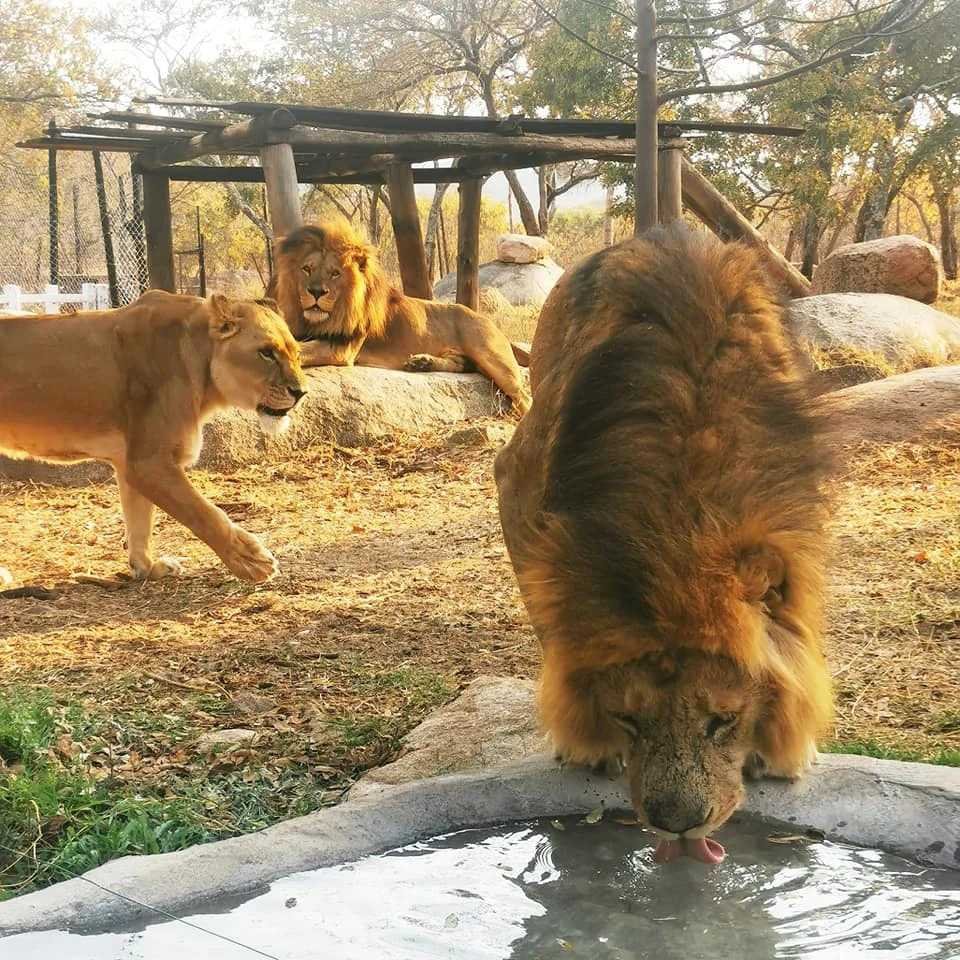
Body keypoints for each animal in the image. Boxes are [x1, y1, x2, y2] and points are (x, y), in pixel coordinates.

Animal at [0, 291, 306, 584]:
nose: (301, 392)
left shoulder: (129, 462)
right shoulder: (149, 463)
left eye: (298, 355)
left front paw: (147, 568)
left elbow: (139, 521)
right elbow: (203, 513)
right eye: (266, 353)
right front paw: (252, 561)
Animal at [268, 221, 531, 415]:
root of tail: (486, 319)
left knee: (525, 396)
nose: (315, 292)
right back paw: (422, 362)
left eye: (335, 273)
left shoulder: (341, 348)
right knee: (460, 364)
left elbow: (301, 349)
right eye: (306, 269)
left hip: (493, 358)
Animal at [495, 224, 832, 865]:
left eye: (724, 720)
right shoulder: (516, 483)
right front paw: (586, 743)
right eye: (628, 717)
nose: (677, 825)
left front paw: (779, 752)